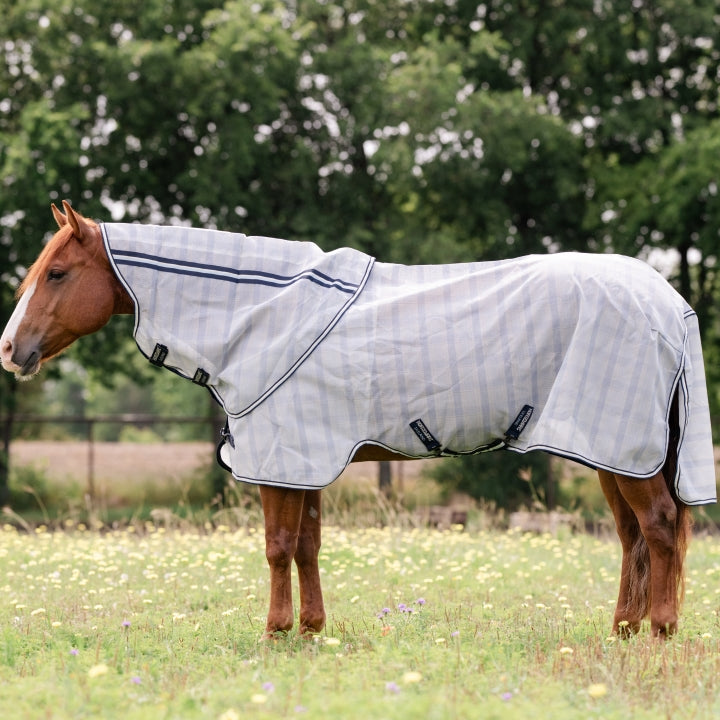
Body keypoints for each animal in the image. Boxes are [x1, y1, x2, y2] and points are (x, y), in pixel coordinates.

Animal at [1, 201, 716, 638]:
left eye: (57, 272)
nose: (10, 350)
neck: (261, 313)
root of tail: (669, 301)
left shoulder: (282, 459)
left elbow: (278, 546)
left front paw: (274, 633)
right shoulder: (305, 460)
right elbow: (308, 545)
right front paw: (311, 633)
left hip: (625, 449)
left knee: (659, 529)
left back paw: (659, 634)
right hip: (614, 450)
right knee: (632, 537)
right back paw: (622, 633)